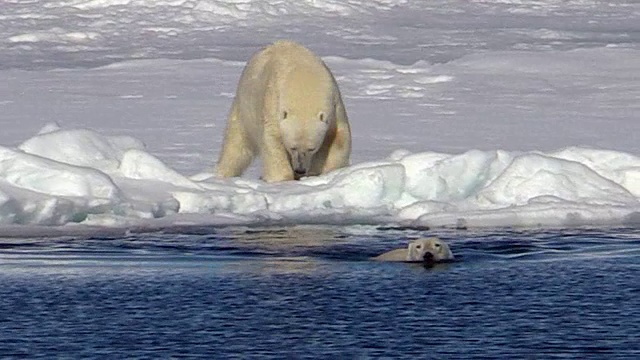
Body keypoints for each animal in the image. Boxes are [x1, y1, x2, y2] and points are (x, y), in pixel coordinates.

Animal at [218, 39, 352, 183]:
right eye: (292, 147)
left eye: (312, 148)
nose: (300, 170)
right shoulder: (272, 104)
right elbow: (272, 140)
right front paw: (282, 179)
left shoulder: (335, 106)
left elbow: (338, 138)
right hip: (244, 109)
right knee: (236, 146)